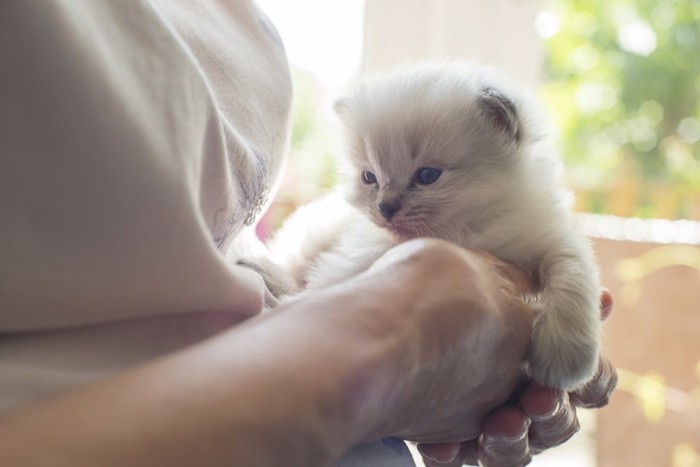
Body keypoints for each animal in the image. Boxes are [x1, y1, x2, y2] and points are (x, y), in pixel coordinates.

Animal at [252, 62, 600, 392]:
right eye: (370, 178)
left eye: (428, 176)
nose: (385, 208)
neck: (466, 229)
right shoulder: (358, 255)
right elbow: (325, 291)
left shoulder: (550, 238)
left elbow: (573, 277)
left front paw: (565, 357)